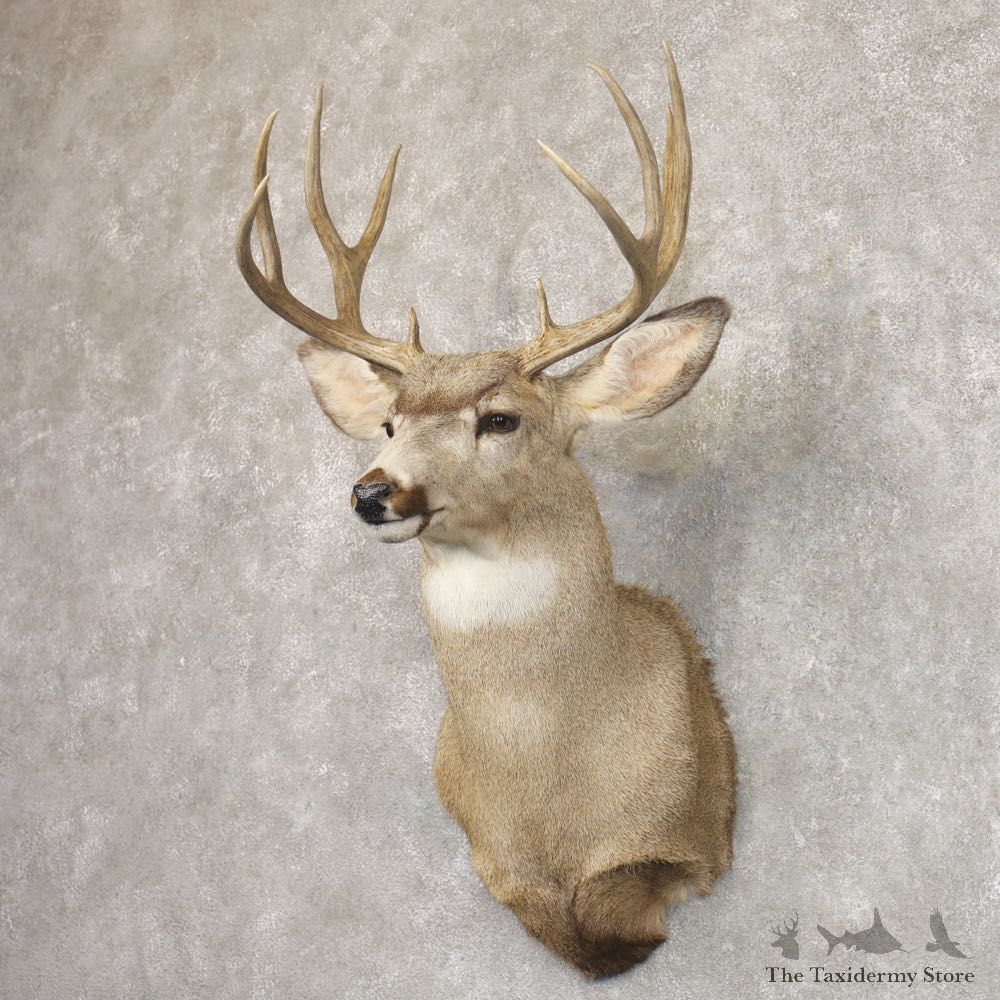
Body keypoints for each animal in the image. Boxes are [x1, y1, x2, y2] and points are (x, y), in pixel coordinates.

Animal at [235, 43, 736, 978]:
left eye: (500, 418)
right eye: (389, 423)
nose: (372, 491)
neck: (554, 806)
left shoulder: (677, 835)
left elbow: (624, 903)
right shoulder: (496, 866)